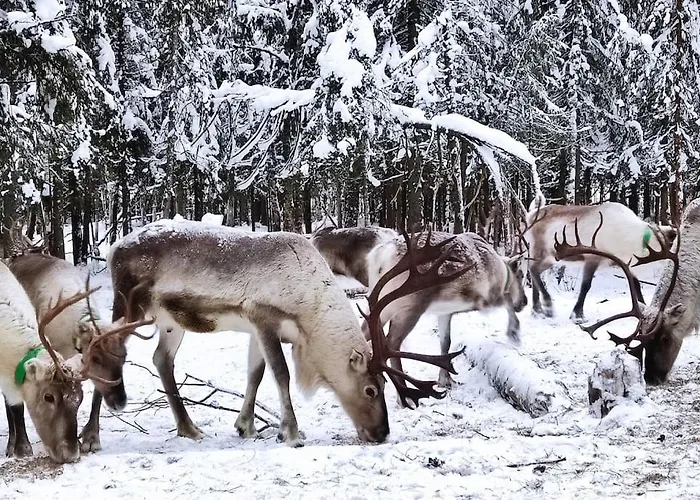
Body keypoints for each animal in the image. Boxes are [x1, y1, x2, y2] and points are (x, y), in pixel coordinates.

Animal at [105, 219, 468, 447]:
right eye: (371, 389)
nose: (381, 433)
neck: (308, 314)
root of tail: (113, 249)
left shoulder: (254, 328)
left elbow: (255, 372)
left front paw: (246, 426)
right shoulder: (263, 316)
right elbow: (281, 373)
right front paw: (291, 432)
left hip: (170, 321)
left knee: (161, 358)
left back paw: (189, 427)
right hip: (128, 304)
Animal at [312, 226, 527, 392]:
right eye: (521, 275)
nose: (525, 302)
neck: (502, 269)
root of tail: (380, 256)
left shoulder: (445, 312)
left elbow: (445, 342)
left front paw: (445, 380)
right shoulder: (486, 298)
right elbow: (507, 301)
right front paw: (514, 333)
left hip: (382, 300)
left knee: (366, 329)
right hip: (410, 305)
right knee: (393, 340)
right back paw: (404, 390)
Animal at [522, 201, 676, 323]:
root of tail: (529, 216)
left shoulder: (625, 262)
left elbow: (636, 285)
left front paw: (645, 308)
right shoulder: (592, 258)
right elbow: (585, 286)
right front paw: (577, 315)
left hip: (552, 258)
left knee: (534, 271)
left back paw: (537, 311)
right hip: (540, 250)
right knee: (533, 269)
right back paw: (547, 306)